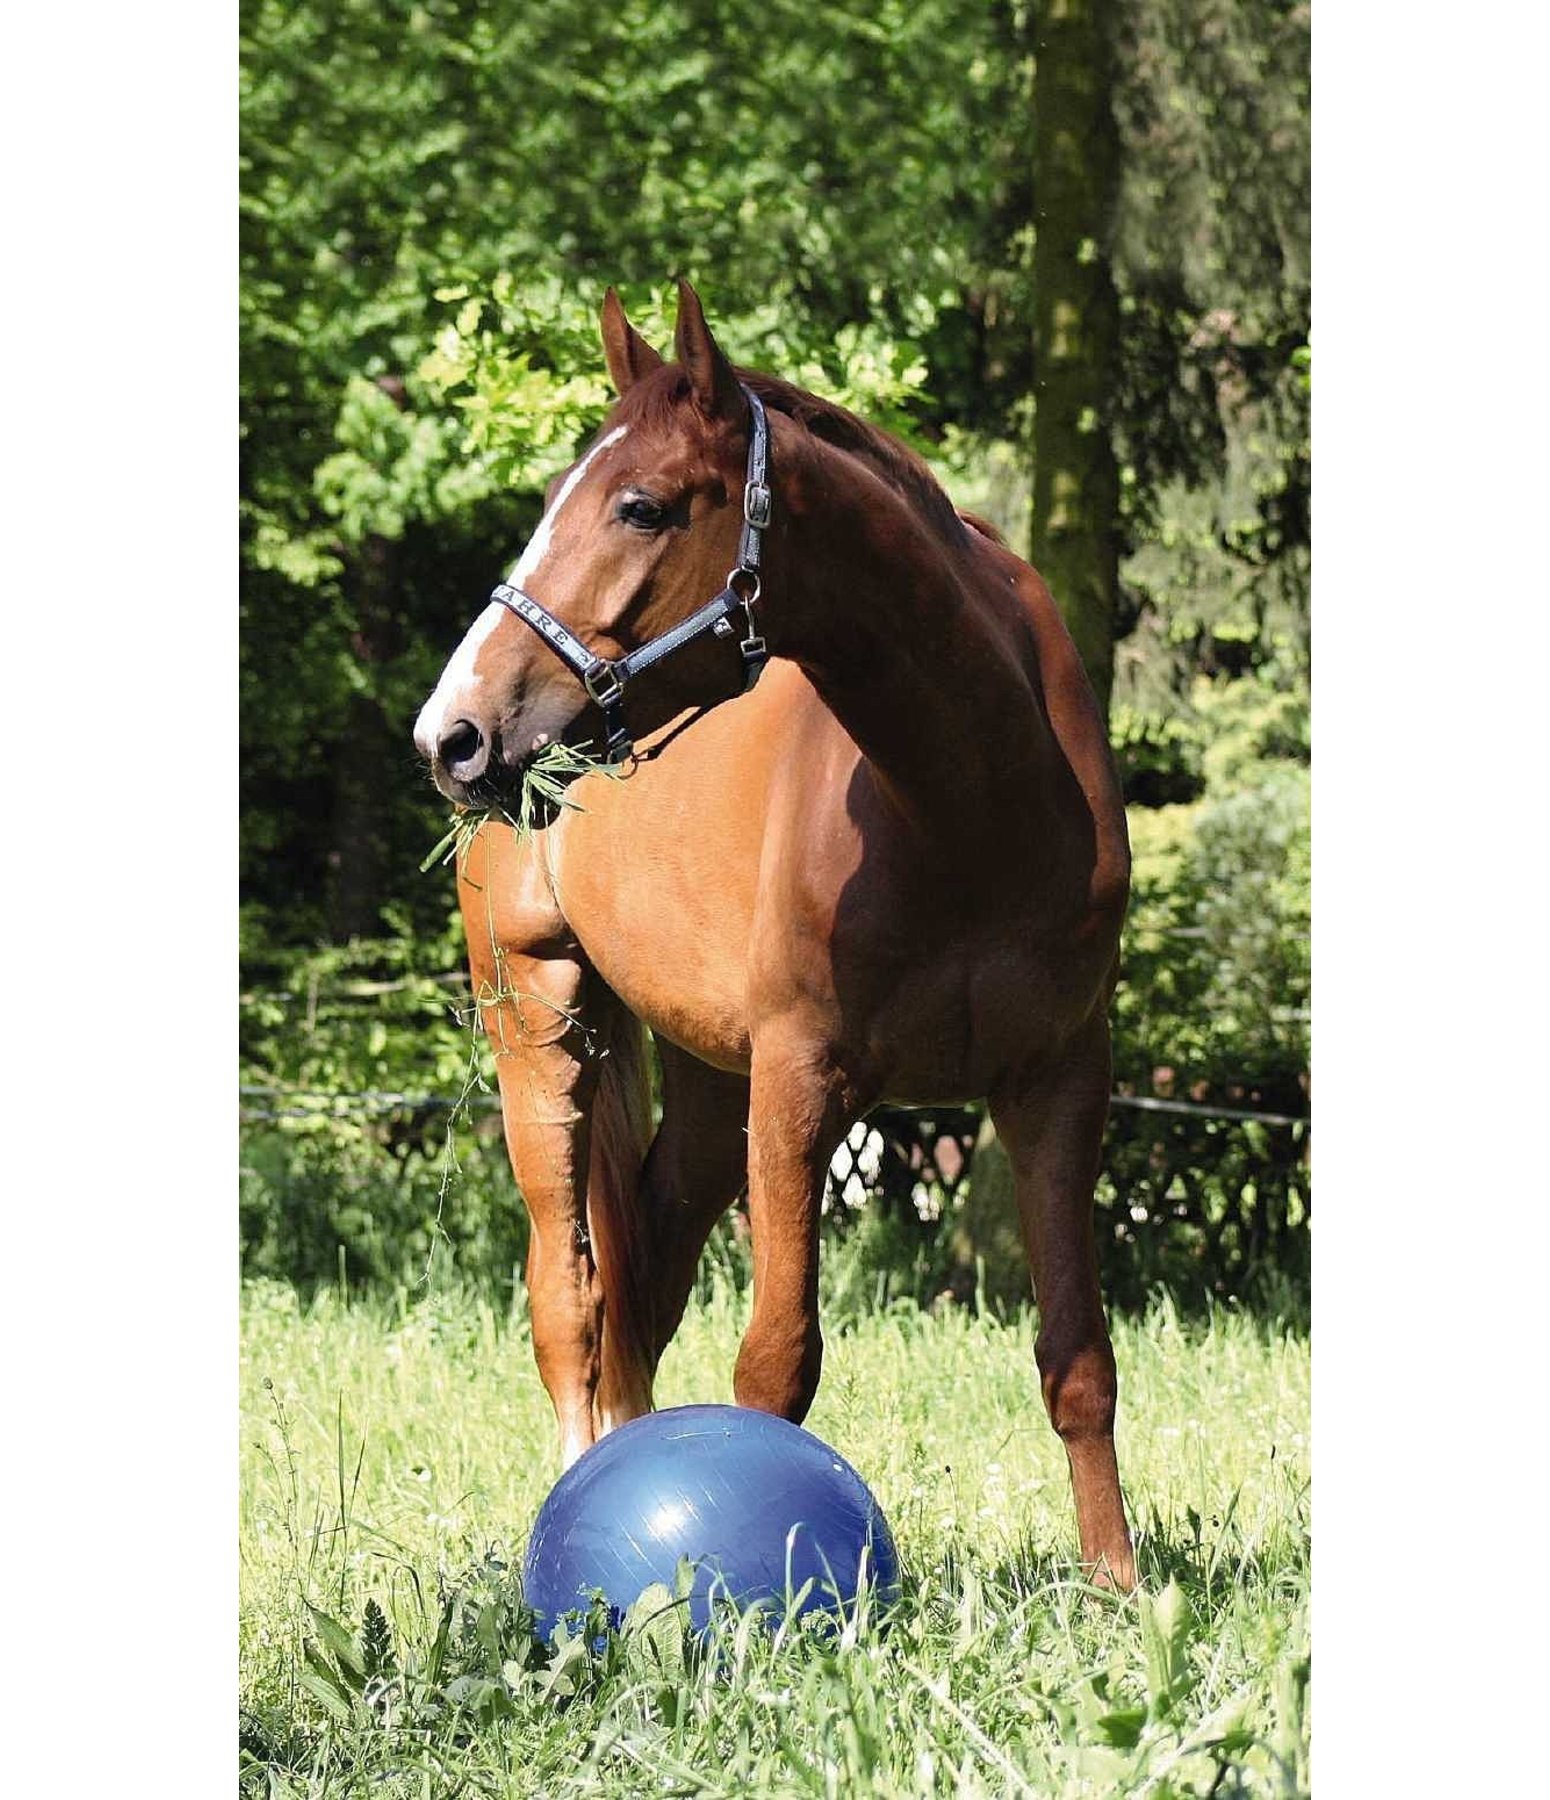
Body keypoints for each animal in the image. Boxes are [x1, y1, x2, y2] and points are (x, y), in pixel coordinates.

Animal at [413, 281, 1137, 1589]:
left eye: (640, 505)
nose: (452, 733)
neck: (969, 804)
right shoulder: (802, 1082)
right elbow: (774, 1362)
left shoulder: (1057, 1081)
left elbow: (1077, 1360)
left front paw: (1118, 1589)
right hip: (540, 1023)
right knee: (571, 1305)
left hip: (706, 1083)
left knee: (641, 1290)